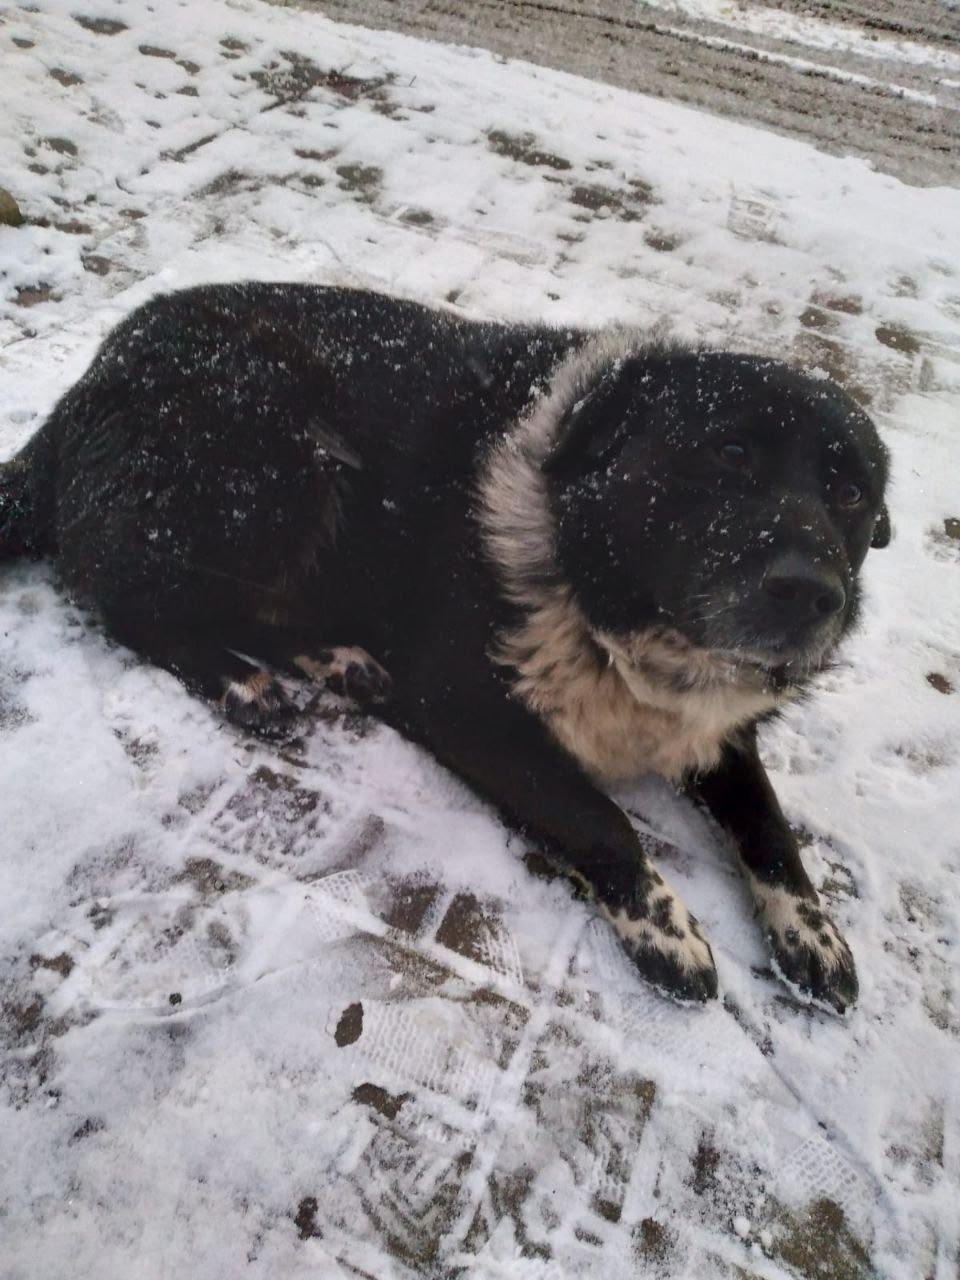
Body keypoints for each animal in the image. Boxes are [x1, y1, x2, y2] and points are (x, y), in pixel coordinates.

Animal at [0, 283, 890, 1010]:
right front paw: (664, 925)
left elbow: (770, 827)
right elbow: (600, 818)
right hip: (272, 457)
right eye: (729, 454)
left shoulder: (718, 730)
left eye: (852, 494)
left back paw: (337, 661)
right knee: (127, 598)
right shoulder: (462, 704)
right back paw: (239, 682)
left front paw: (812, 930)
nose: (814, 594)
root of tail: (85, 384)